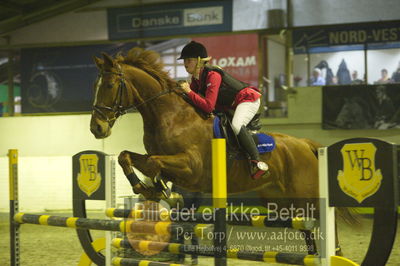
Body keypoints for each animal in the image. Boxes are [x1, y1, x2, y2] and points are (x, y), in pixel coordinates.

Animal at [90, 48, 354, 256]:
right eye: (96, 86)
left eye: (110, 85)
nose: (97, 128)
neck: (170, 116)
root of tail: (304, 144)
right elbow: (127, 157)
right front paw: (150, 190)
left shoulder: (191, 168)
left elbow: (154, 163)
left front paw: (164, 191)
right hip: (281, 201)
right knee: (306, 227)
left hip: (306, 193)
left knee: (326, 218)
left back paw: (337, 252)